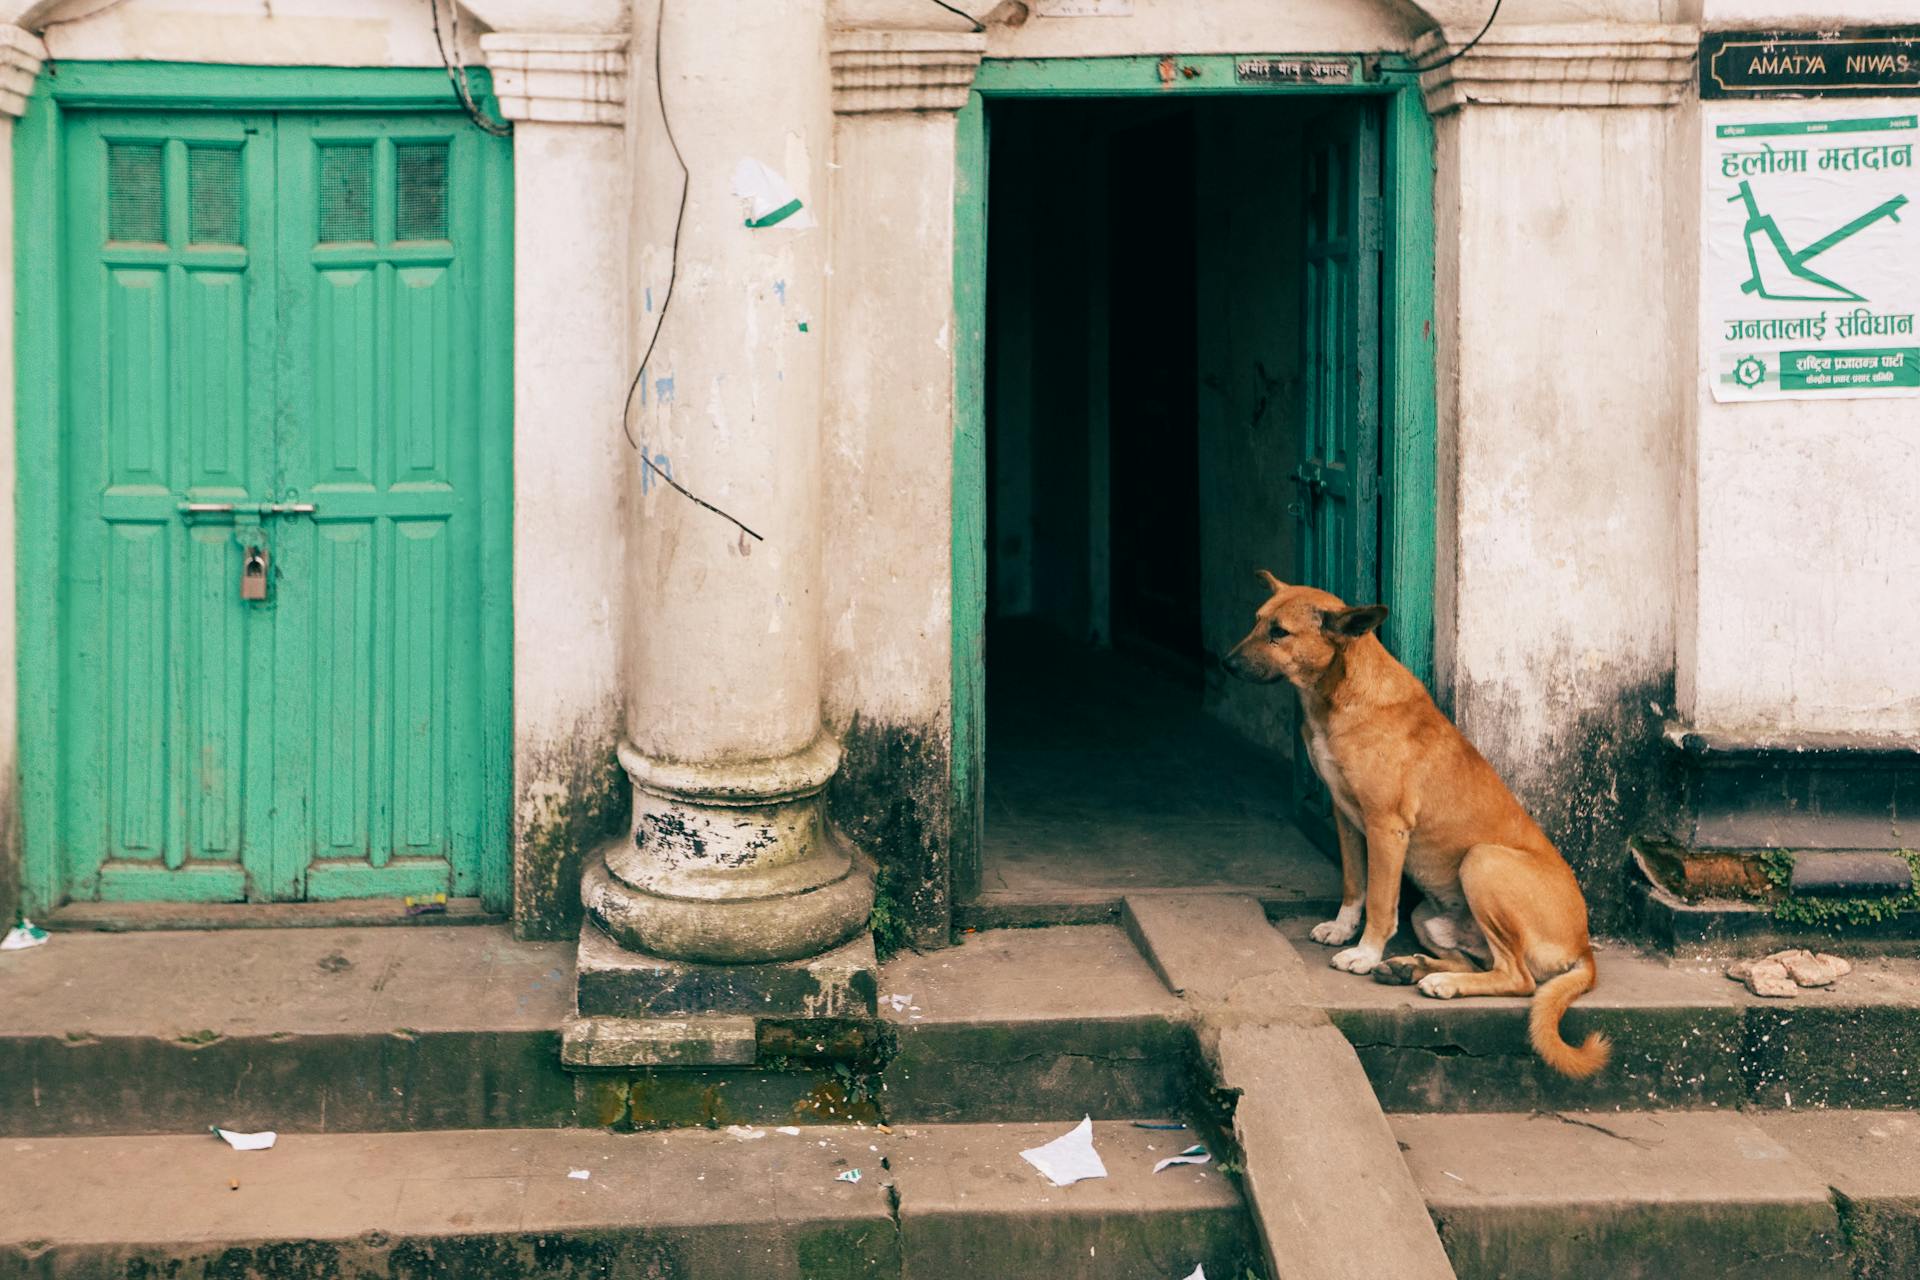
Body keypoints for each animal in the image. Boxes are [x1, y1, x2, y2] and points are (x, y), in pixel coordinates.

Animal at [1221, 575, 1612, 1074]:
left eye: (1280, 633)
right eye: (1256, 622)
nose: (1225, 662)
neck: (1338, 694)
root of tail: (1583, 947)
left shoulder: (1387, 828)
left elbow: (1379, 900)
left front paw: (1365, 953)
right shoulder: (1345, 817)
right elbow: (1354, 886)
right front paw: (1342, 929)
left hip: (1481, 862)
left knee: (1519, 978)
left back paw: (1439, 981)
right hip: (1428, 916)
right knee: (1483, 965)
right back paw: (1414, 969)